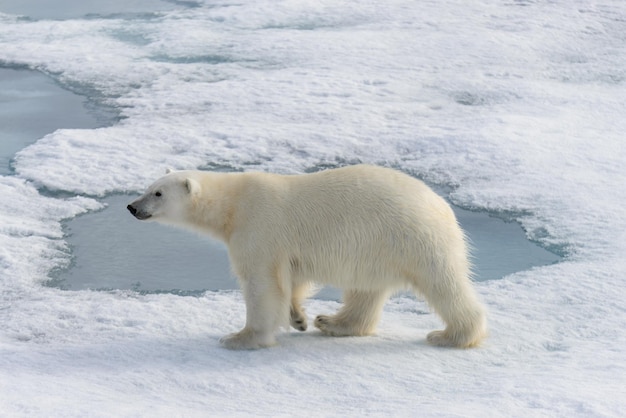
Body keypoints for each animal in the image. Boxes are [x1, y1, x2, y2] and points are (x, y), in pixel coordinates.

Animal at [128, 164, 488, 350]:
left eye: (157, 193)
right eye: (147, 187)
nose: (132, 206)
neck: (233, 205)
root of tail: (443, 206)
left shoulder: (259, 227)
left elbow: (262, 284)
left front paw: (241, 337)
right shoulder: (286, 247)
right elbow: (293, 278)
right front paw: (298, 317)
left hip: (412, 238)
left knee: (443, 284)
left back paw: (451, 336)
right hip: (377, 249)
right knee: (366, 291)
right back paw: (333, 322)